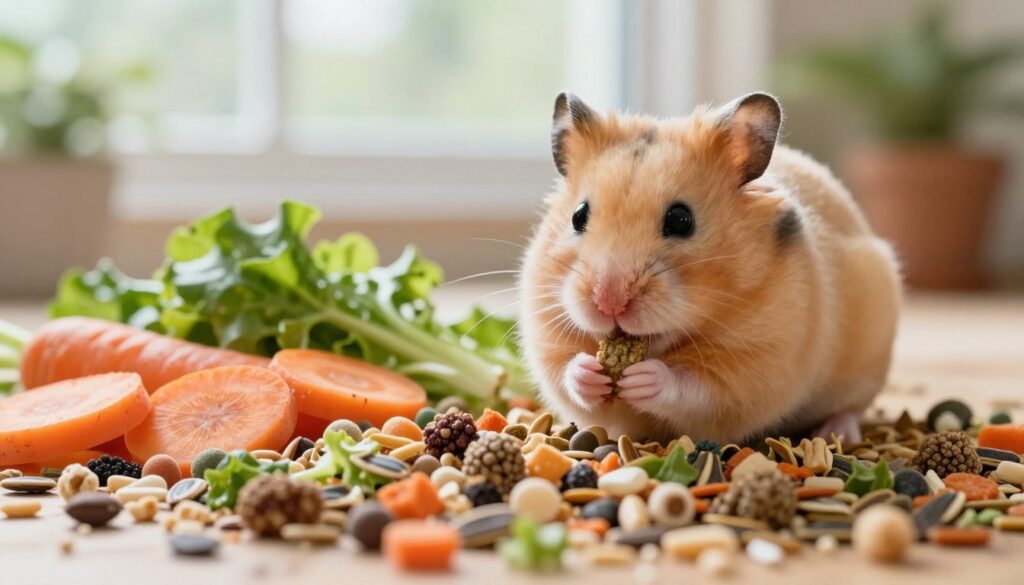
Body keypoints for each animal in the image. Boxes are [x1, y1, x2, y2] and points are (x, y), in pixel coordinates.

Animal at [518, 91, 901, 445]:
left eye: (681, 220)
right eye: (577, 216)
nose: (608, 301)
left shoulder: (755, 366)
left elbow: (695, 388)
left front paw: (646, 378)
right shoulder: (545, 333)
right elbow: (566, 375)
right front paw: (589, 372)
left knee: (851, 407)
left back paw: (837, 433)